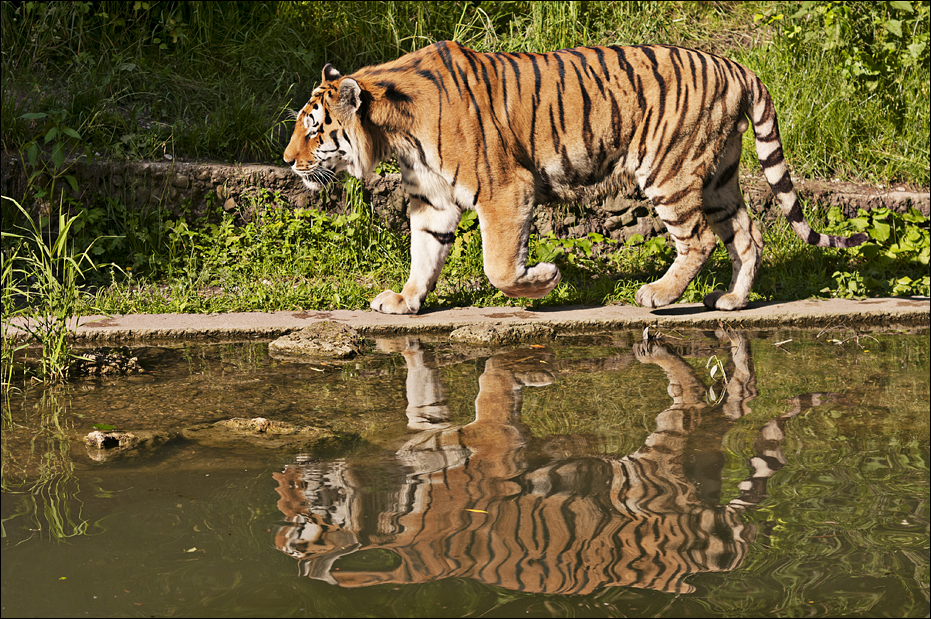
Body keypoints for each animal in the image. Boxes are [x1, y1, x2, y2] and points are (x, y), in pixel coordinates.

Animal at [283, 41, 867, 314]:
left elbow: (498, 266)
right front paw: (405, 301)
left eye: (313, 129)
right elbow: (423, 254)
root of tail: (736, 65)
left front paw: (545, 280)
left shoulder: (506, 190)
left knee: (699, 238)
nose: (288, 160)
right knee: (748, 233)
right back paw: (731, 300)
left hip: (670, 171)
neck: (394, 131)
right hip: (718, 174)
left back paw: (658, 294)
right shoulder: (433, 200)